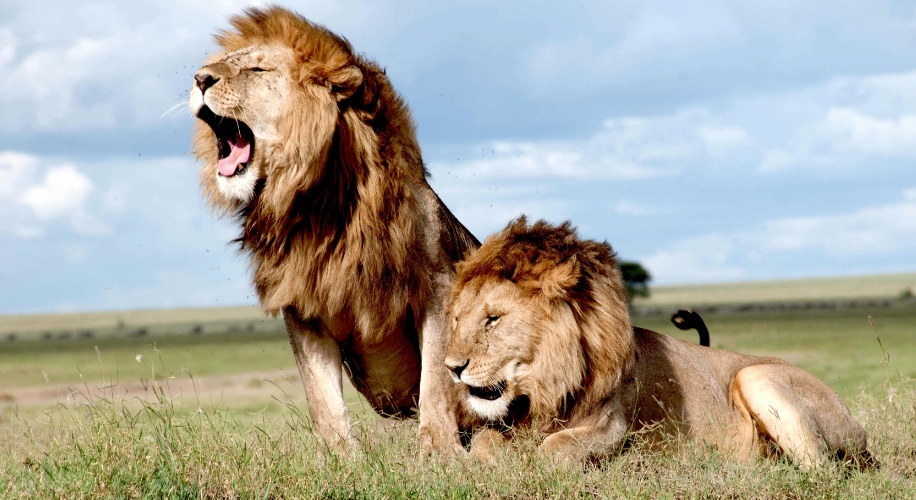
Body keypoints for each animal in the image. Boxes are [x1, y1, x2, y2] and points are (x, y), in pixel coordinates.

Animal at [192, 6, 480, 454]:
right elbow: (322, 399)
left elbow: (435, 381)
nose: (199, 78)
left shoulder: (437, 288)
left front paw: (439, 453)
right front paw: (341, 459)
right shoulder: (302, 306)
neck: (318, 206)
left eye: (257, 69)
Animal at [444, 219, 872, 468]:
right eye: (457, 319)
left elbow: (554, 449)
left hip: (757, 376)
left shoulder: (613, 426)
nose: (452, 368)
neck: (545, 386)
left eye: (493, 319)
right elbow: (483, 443)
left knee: (822, 471)